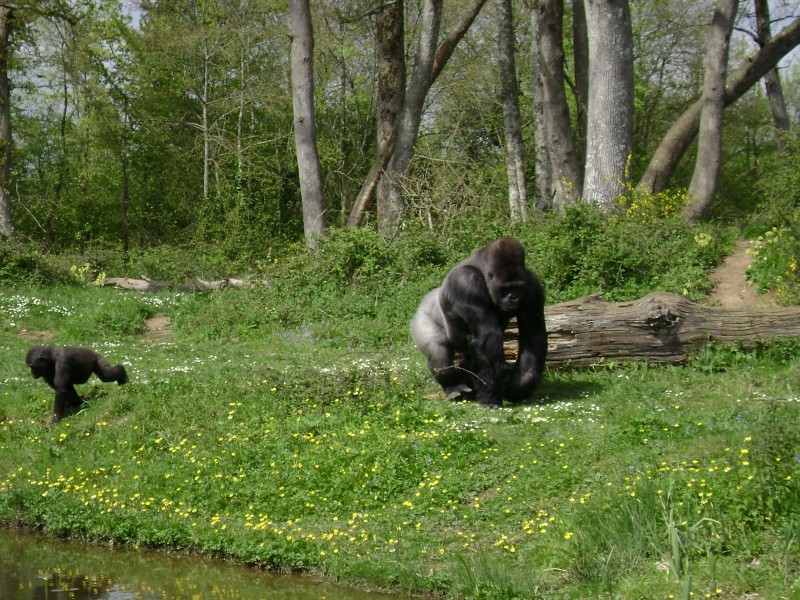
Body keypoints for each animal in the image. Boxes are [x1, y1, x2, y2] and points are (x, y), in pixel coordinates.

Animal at [410, 237, 548, 406]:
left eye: (517, 287)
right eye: (505, 288)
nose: (514, 297)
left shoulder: (532, 287)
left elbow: (532, 336)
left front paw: (521, 385)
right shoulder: (467, 283)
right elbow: (487, 338)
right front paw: (490, 397)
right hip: (422, 319)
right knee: (438, 351)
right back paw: (454, 386)